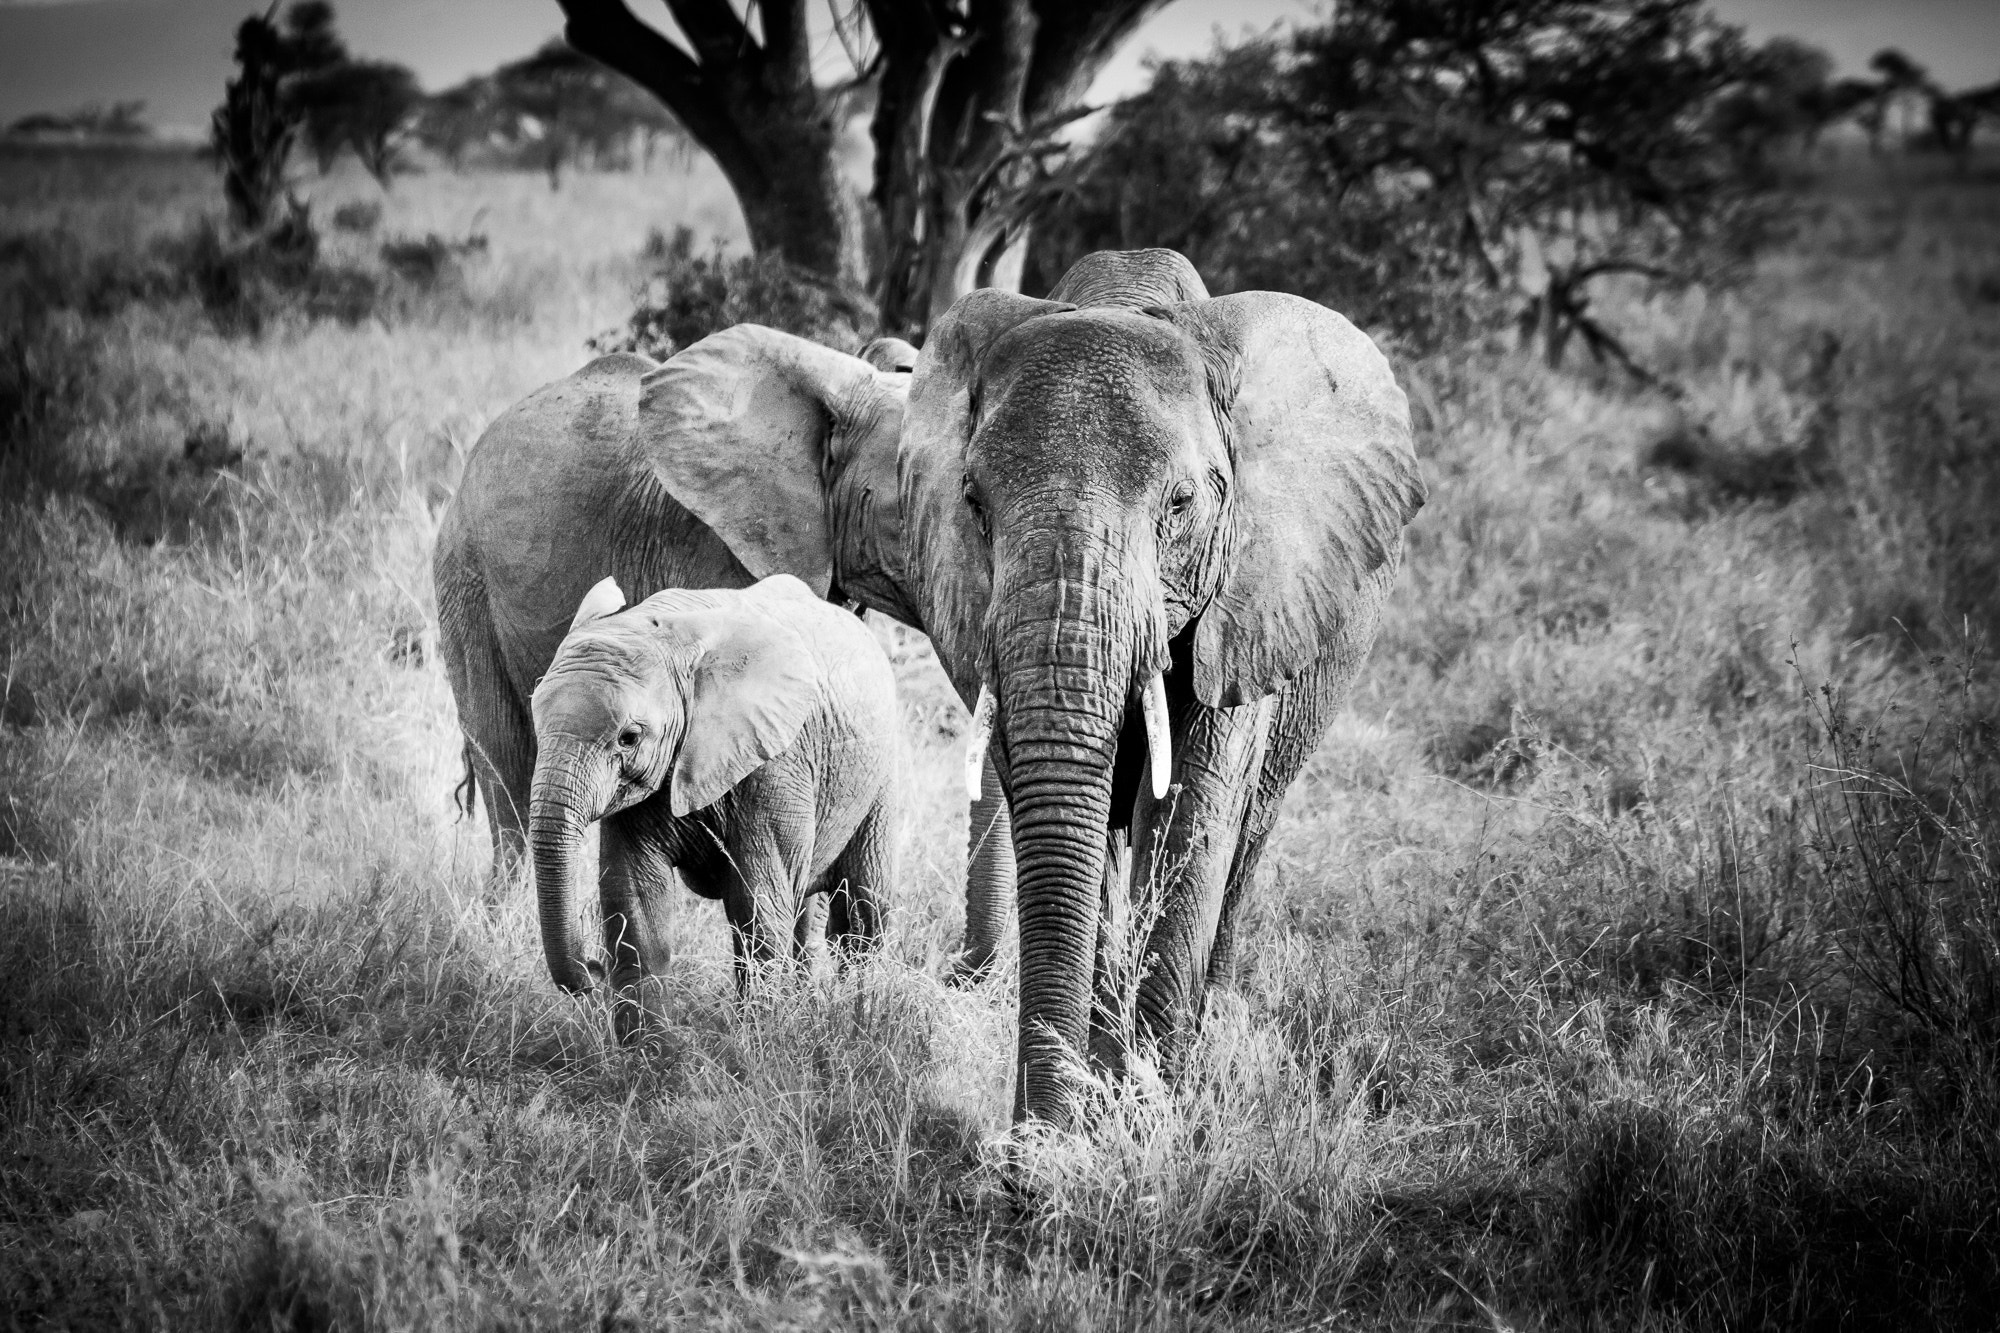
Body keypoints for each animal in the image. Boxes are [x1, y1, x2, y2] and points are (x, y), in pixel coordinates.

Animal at [532, 572, 908, 1008]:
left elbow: (757, 909)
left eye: (629, 738)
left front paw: (759, 1026)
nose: (592, 973)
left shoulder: (775, 764)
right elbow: (636, 903)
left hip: (881, 774)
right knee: (806, 906)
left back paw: (857, 1007)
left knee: (862, 911)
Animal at [900, 249, 1432, 1120]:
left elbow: (1191, 813)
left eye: (1180, 503)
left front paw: (1146, 1113)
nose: (1021, 1145)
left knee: (1246, 838)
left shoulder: (1247, 595)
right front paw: (1084, 1119)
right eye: (973, 502)